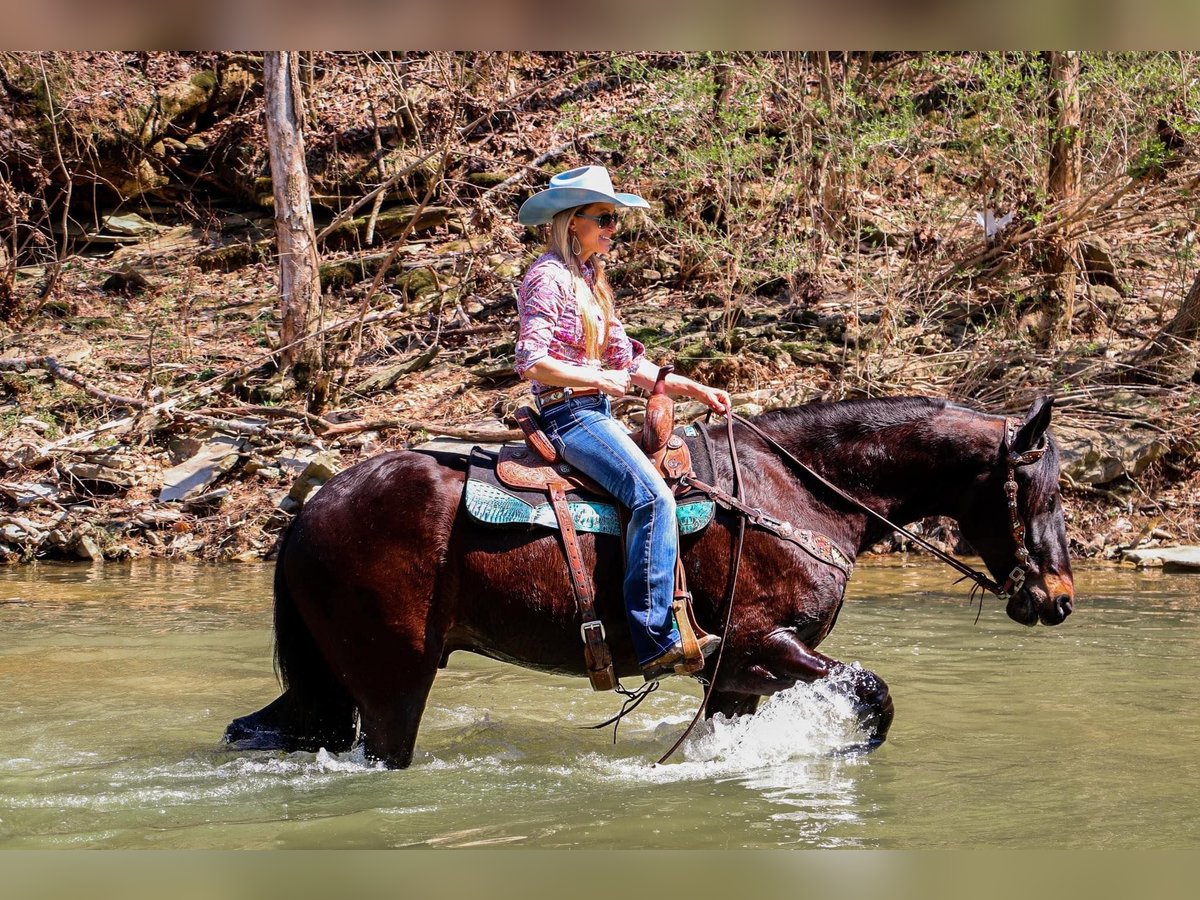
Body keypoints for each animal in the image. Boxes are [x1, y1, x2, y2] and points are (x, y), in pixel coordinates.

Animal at [226, 393, 1080, 768]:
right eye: (1045, 492)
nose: (1059, 600)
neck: (795, 494)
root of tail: (310, 511)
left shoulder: (736, 676)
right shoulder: (760, 644)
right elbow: (874, 692)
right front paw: (846, 753)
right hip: (392, 682)